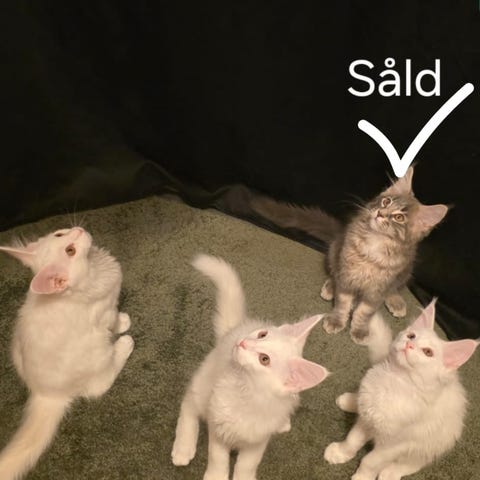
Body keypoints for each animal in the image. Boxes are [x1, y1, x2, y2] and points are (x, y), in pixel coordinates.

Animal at [0, 226, 134, 480]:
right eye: (70, 250)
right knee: (101, 384)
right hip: (98, 350)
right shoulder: (104, 314)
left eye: (60, 234)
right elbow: (113, 320)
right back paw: (124, 345)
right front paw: (123, 323)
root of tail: (45, 393)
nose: (78, 229)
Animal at [171, 254, 329, 480]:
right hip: (204, 386)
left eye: (264, 359)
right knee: (189, 406)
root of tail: (233, 331)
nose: (243, 343)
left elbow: (247, 464)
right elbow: (217, 456)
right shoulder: (218, 423)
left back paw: (283, 422)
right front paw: (216, 475)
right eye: (262, 334)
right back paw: (183, 448)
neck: (247, 394)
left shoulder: (258, 440)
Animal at [249, 167, 448, 344]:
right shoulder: (347, 274)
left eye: (399, 218)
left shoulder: (377, 290)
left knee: (394, 288)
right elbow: (343, 303)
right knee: (333, 272)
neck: (374, 245)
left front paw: (359, 330)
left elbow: (364, 312)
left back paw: (395, 301)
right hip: (335, 250)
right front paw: (337, 320)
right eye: (386, 202)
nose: (380, 213)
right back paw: (331, 287)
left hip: (406, 270)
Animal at [324, 299, 478, 480]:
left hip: (428, 446)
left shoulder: (392, 446)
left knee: (412, 464)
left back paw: (390, 473)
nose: (409, 344)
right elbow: (352, 440)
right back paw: (350, 401)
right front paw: (340, 453)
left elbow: (370, 461)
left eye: (428, 352)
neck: (394, 380)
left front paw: (363, 476)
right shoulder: (367, 420)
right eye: (412, 336)